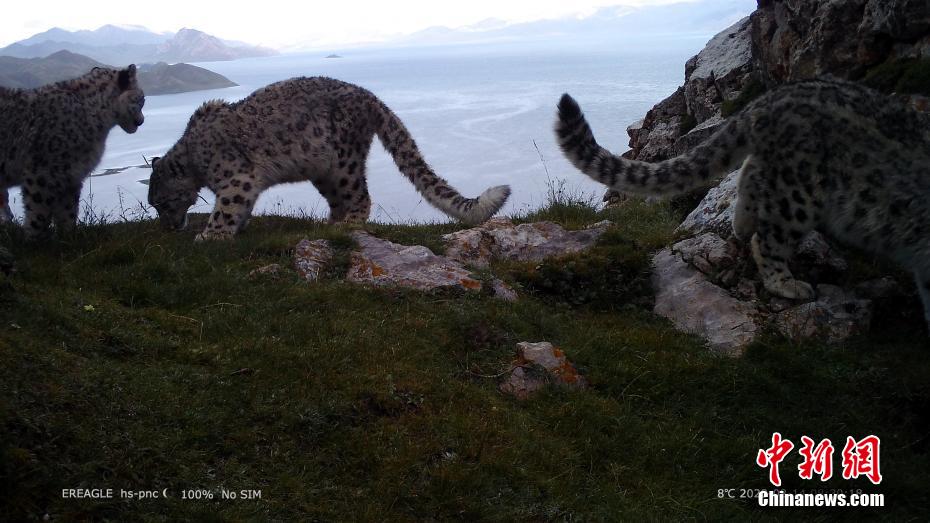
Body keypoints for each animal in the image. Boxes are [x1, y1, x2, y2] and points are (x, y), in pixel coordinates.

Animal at [0, 65, 145, 235]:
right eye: (142, 99)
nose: (142, 121)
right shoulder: (41, 173)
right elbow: (39, 211)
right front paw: (34, 237)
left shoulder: (72, 174)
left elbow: (68, 210)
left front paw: (68, 235)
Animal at [147, 76, 511, 240]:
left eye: (162, 202)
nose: (167, 227)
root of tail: (370, 96)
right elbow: (240, 207)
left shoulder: (237, 178)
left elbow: (226, 207)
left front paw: (210, 235)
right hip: (324, 170)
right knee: (340, 200)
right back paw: (330, 224)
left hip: (344, 162)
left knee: (360, 196)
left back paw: (349, 224)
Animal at [555, 78, 930, 330]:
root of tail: (772, 96)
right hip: (800, 191)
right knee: (768, 236)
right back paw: (788, 284)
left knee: (748, 176)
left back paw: (742, 225)